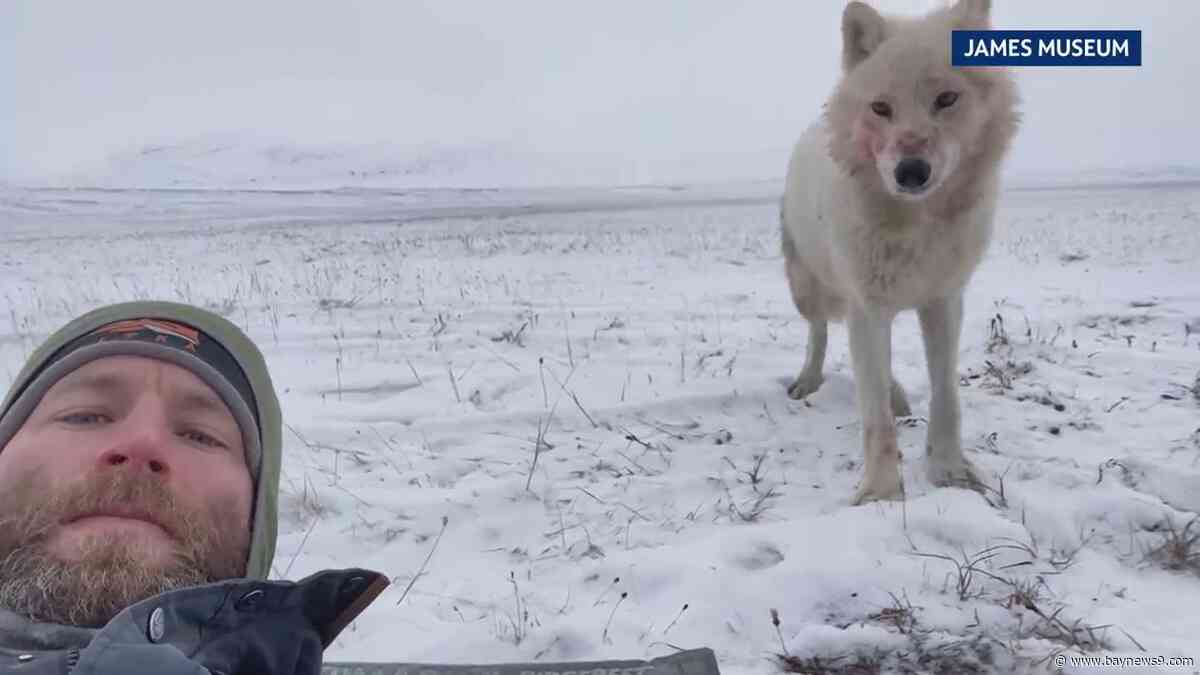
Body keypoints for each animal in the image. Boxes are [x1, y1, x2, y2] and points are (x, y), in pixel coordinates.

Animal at [780, 0, 1020, 504]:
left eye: (946, 99)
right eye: (881, 108)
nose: (911, 172)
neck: (915, 227)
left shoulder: (944, 300)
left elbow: (946, 398)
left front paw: (950, 473)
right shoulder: (867, 304)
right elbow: (875, 419)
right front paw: (880, 494)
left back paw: (897, 395)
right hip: (809, 288)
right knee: (820, 332)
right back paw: (809, 381)